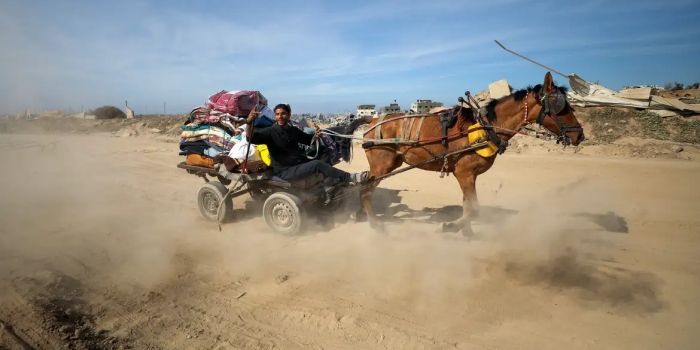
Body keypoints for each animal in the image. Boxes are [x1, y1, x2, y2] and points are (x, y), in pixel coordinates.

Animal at [350, 71, 584, 238]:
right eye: (561, 106)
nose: (580, 135)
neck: (487, 126)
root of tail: (372, 120)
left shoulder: (468, 175)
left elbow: (467, 206)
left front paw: (467, 232)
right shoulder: (464, 173)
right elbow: (474, 209)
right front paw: (452, 227)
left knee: (364, 185)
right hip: (383, 165)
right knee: (366, 191)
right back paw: (374, 224)